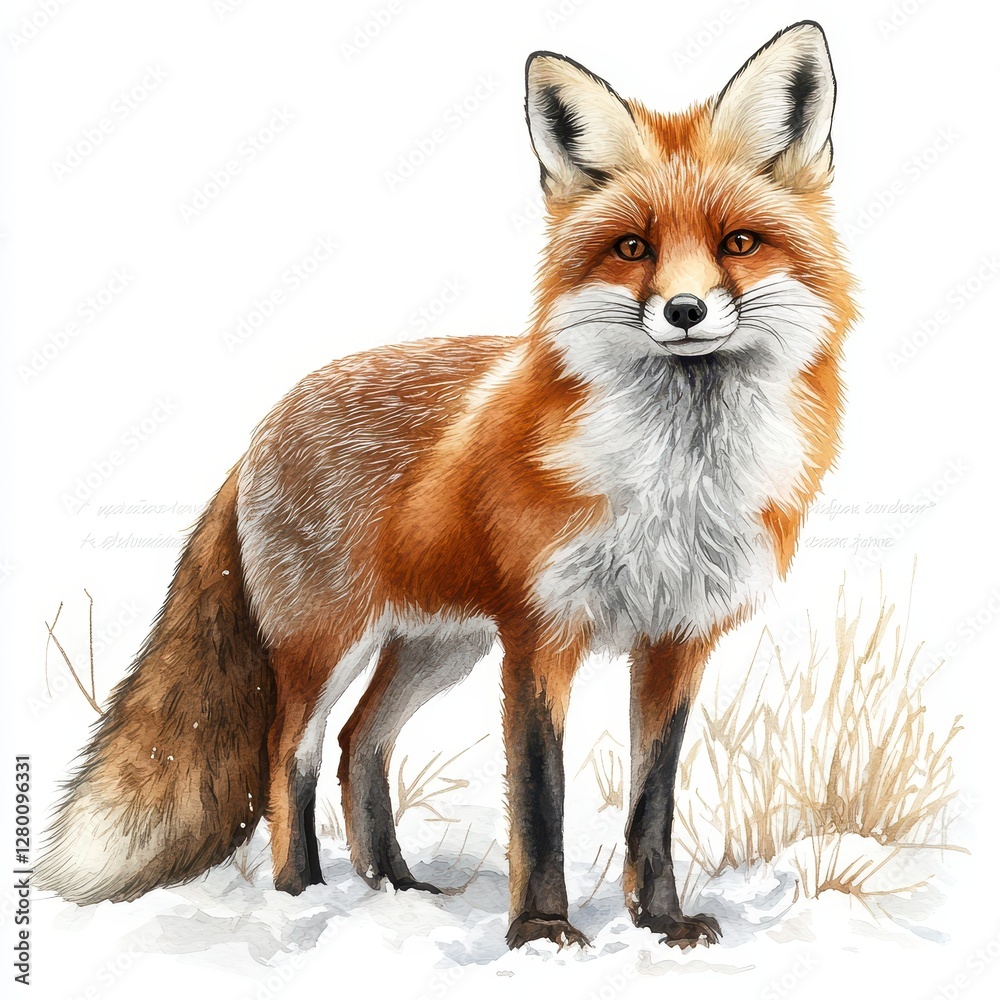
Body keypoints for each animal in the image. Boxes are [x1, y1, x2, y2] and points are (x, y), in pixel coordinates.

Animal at [38, 21, 856, 950]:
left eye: (738, 243)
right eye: (633, 248)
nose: (685, 311)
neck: (674, 483)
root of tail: (261, 429)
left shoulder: (677, 639)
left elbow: (653, 800)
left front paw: (661, 922)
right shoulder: (539, 634)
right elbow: (539, 797)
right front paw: (540, 930)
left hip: (436, 645)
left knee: (361, 743)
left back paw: (392, 885)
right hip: (329, 642)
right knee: (291, 753)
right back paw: (302, 894)